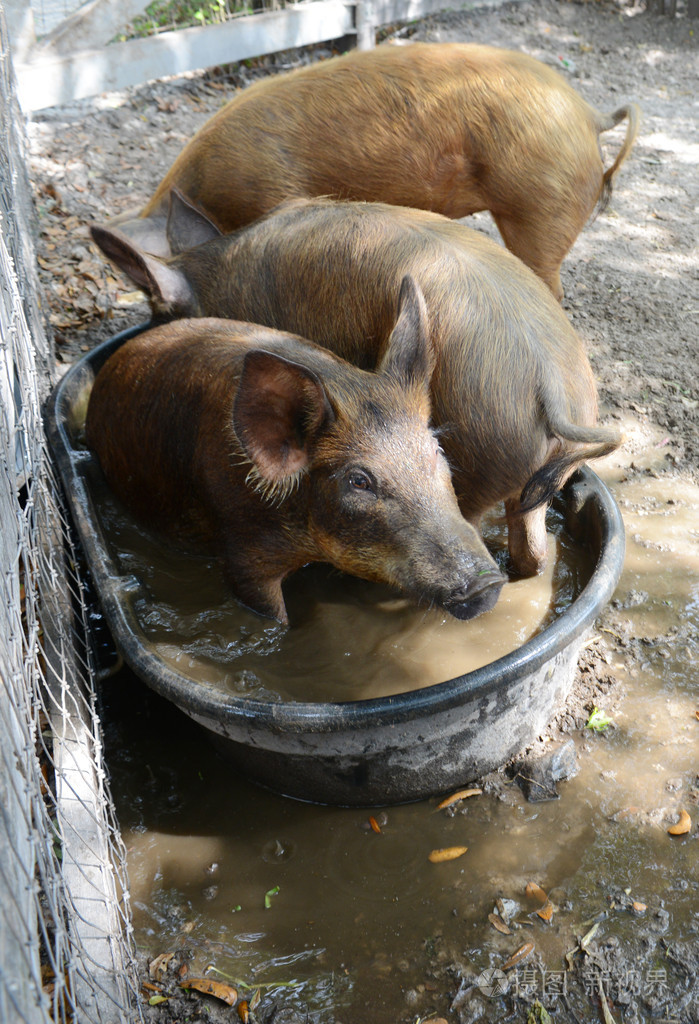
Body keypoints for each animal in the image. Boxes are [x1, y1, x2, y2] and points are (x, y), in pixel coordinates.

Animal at [93, 194, 622, 573]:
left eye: (160, 311)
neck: (214, 277)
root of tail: (553, 384)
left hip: (472, 465)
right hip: (539, 477)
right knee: (532, 550)